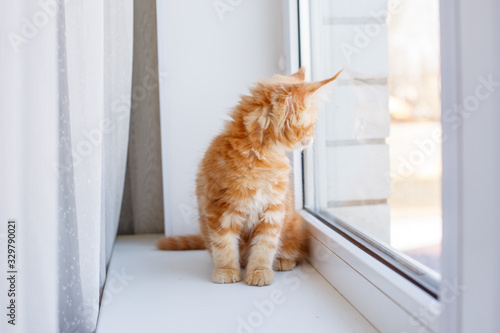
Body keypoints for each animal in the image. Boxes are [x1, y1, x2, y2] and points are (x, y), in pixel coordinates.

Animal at [158, 67, 342, 286]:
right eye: (313, 124)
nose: (313, 138)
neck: (258, 156)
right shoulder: (220, 209)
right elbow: (224, 245)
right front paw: (227, 271)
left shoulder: (273, 210)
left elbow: (264, 247)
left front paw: (260, 271)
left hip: (293, 226)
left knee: (295, 251)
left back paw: (283, 261)